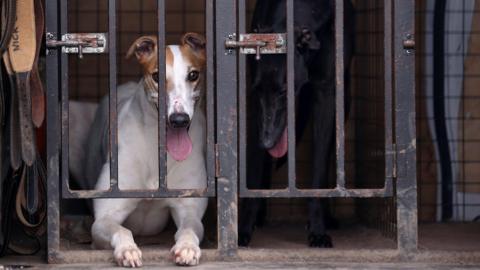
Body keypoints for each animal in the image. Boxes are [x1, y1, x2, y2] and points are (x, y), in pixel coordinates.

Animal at [239, 0, 354, 248]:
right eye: (257, 90)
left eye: (284, 91)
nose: (266, 142)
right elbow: (254, 170)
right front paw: (243, 228)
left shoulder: (326, 95)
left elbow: (319, 170)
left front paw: (318, 229)